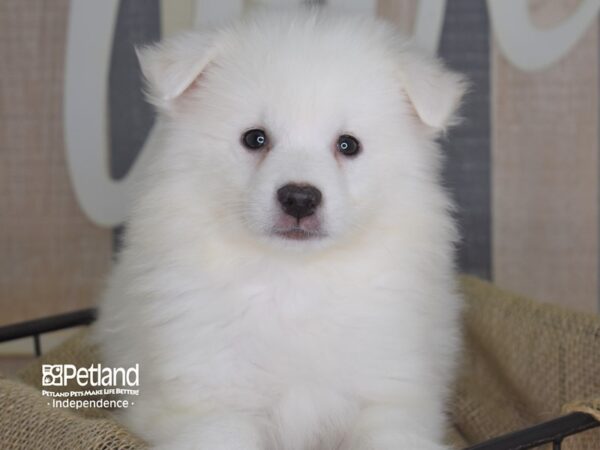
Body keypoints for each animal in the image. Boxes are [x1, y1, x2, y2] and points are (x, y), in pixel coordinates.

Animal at [95, 7, 468, 450]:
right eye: (255, 138)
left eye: (348, 145)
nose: (300, 199)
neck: (295, 279)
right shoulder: (208, 401)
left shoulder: (391, 396)